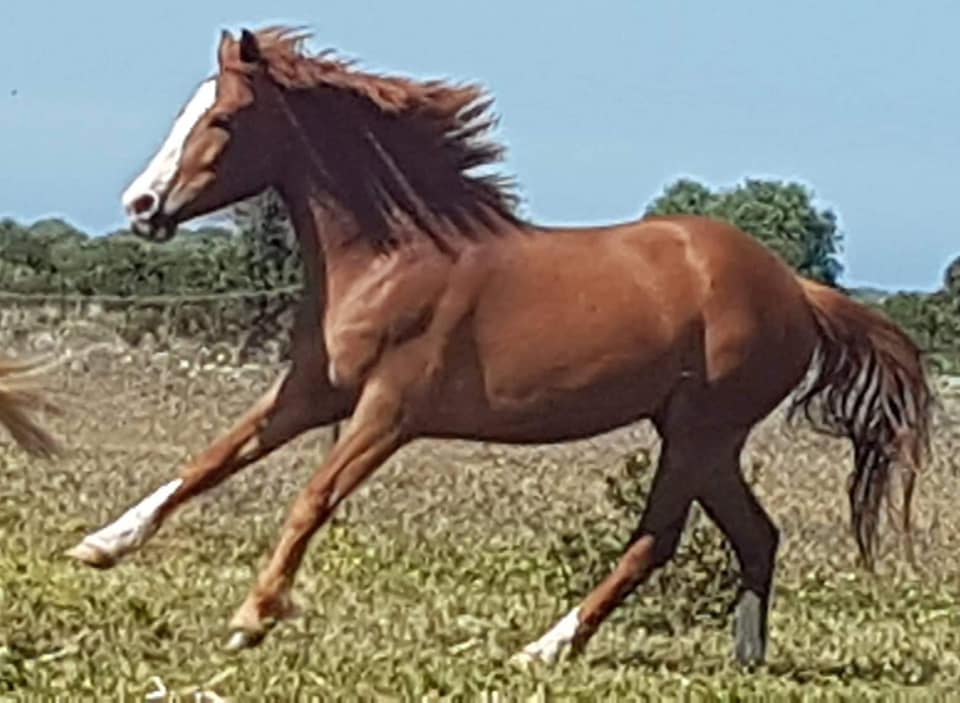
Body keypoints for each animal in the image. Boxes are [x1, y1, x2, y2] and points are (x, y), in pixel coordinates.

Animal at [67, 27, 932, 667]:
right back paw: (744, 656)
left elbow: (312, 495)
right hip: (703, 436)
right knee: (756, 534)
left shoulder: (388, 411)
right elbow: (211, 458)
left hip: (698, 431)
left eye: (223, 120)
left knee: (655, 539)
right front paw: (99, 545)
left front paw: (253, 615)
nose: (141, 205)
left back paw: (544, 649)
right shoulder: (314, 390)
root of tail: (796, 289)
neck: (393, 256)